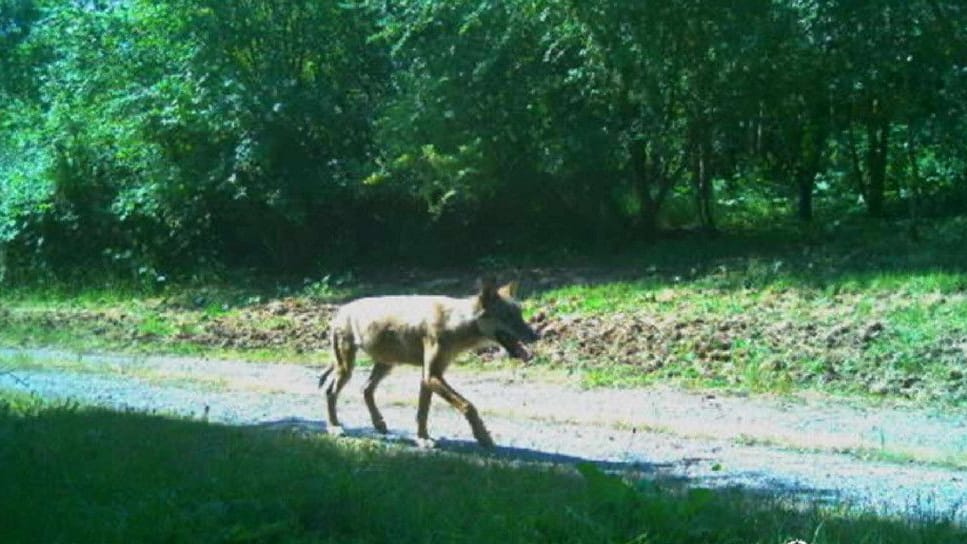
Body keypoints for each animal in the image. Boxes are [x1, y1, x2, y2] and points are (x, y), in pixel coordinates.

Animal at [322, 278, 540, 448]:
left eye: (520, 315)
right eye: (508, 317)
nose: (536, 335)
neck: (457, 323)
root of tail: (340, 309)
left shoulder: (427, 378)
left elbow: (423, 413)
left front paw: (423, 439)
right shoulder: (432, 376)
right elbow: (469, 406)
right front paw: (483, 437)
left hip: (386, 365)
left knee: (365, 389)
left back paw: (379, 424)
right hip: (347, 369)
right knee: (331, 391)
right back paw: (334, 427)